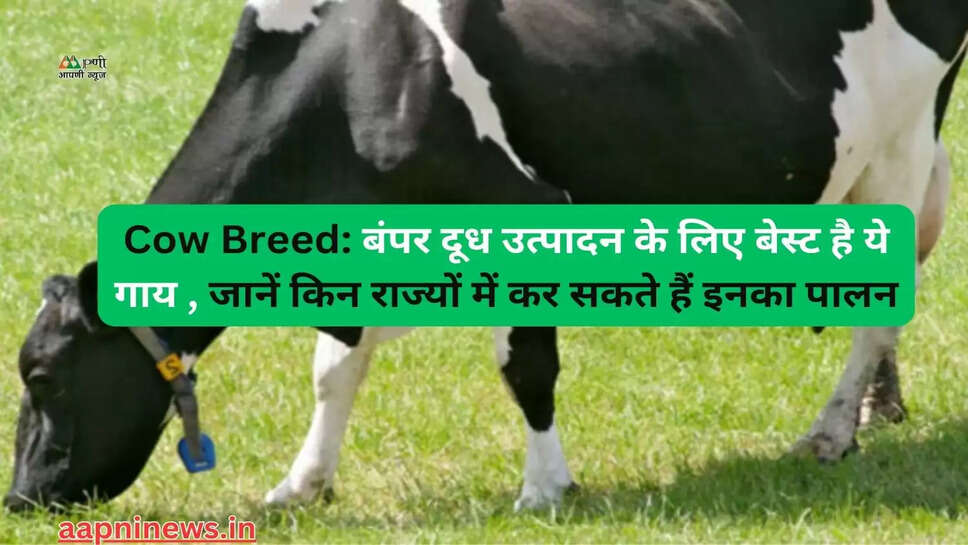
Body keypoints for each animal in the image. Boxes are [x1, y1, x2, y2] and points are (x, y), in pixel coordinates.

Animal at [6, 0, 967, 513]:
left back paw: (833, 428)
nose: (19, 497)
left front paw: (545, 486)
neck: (351, 79)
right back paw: (878, 406)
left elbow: (525, 366)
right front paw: (304, 481)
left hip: (897, 149)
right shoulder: (355, 252)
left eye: (44, 375)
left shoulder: (525, 213)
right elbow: (333, 368)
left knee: (882, 297)